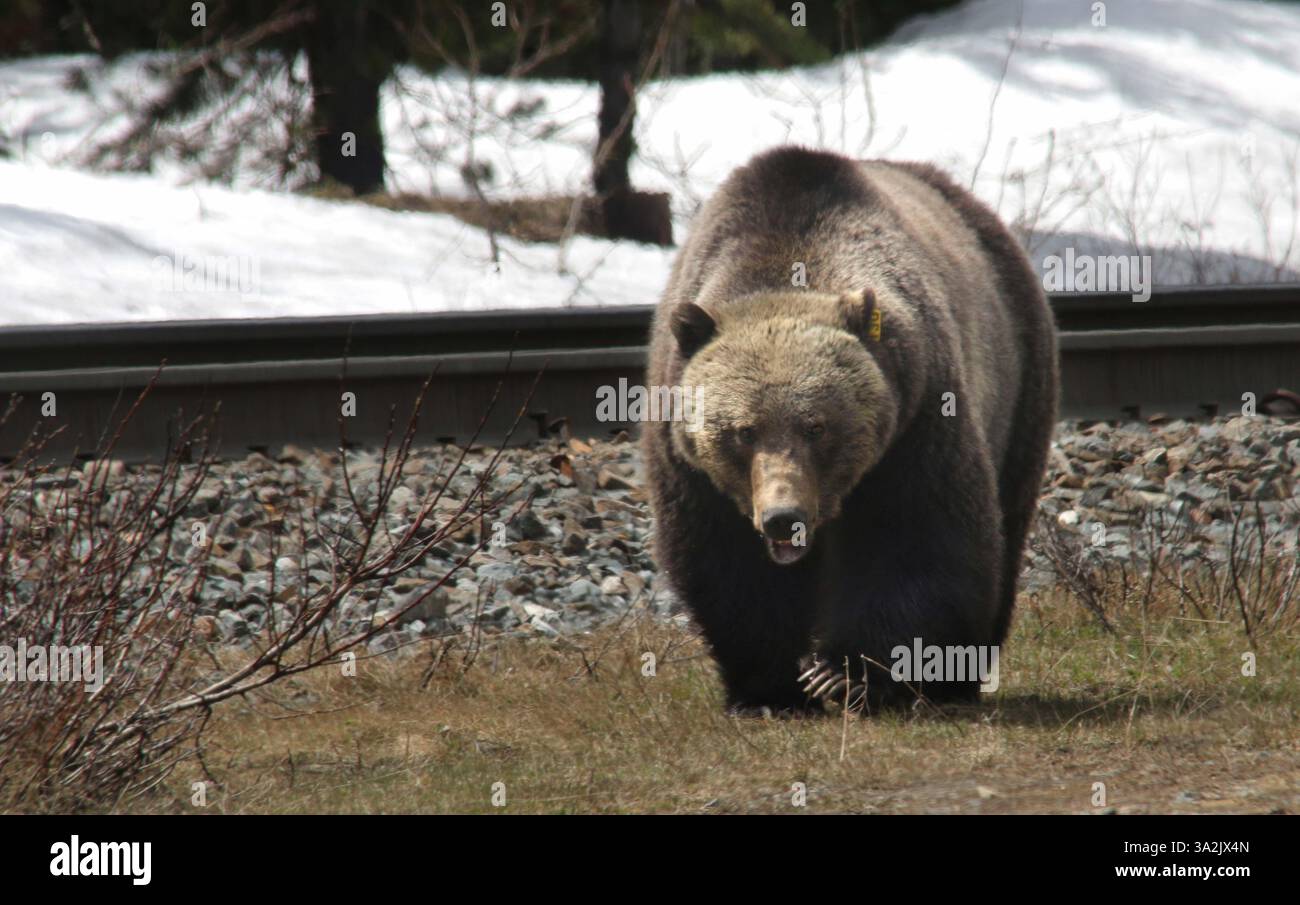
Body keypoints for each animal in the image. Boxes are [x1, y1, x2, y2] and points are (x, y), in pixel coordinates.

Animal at [644, 146, 1058, 715]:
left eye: (817, 426)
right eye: (743, 431)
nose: (784, 518)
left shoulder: (914, 423)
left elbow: (915, 538)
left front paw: (843, 676)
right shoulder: (689, 461)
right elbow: (724, 564)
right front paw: (769, 688)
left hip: (1019, 381)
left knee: (1005, 521)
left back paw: (959, 678)